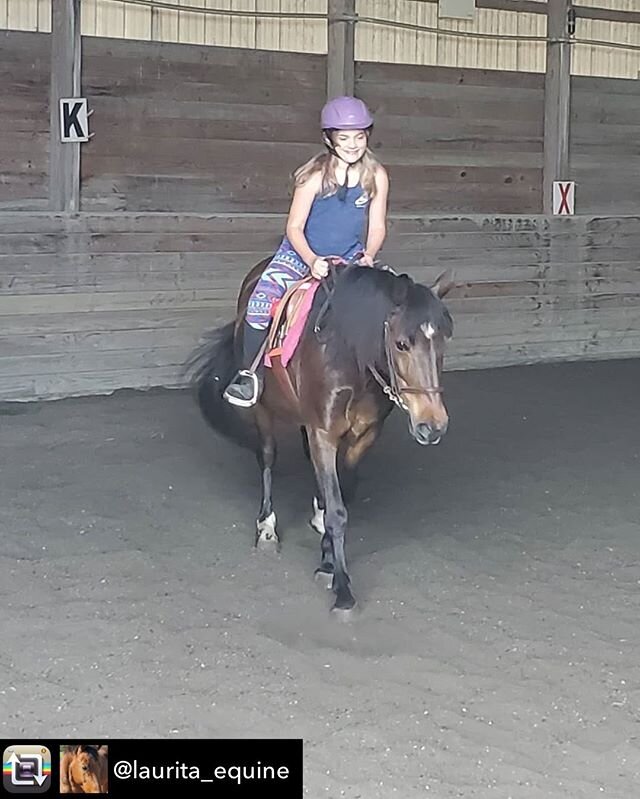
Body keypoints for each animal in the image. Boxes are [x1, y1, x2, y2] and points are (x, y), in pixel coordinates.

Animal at [188, 260, 452, 620]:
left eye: (442, 344)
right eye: (401, 344)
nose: (432, 426)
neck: (350, 356)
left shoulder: (364, 435)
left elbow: (341, 498)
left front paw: (327, 560)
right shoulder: (323, 433)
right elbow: (337, 511)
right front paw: (343, 592)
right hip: (263, 410)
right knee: (267, 457)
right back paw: (266, 529)